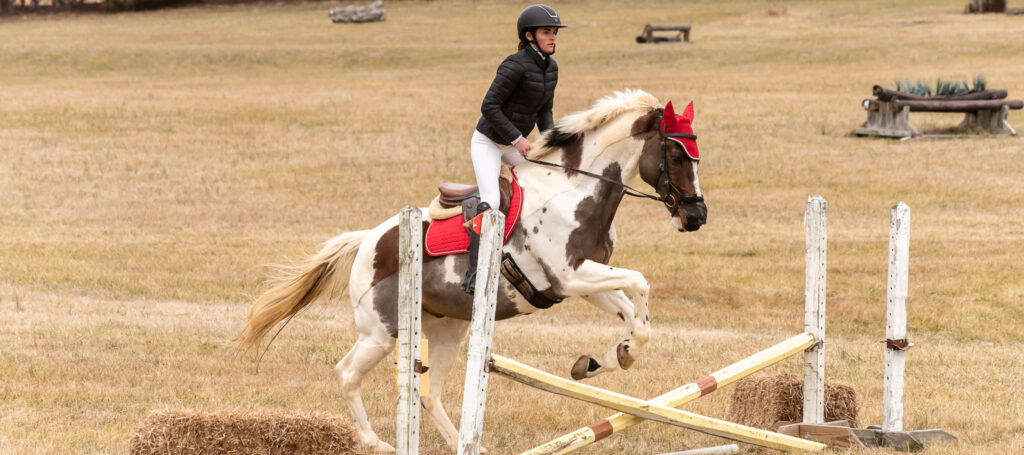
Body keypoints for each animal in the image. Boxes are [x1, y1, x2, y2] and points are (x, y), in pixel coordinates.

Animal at [237, 89, 707, 453]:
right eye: (677, 153)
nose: (697, 217)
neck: (575, 190)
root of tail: (369, 239)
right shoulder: (569, 276)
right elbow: (640, 283)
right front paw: (614, 354)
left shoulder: (579, 281)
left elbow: (633, 312)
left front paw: (606, 359)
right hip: (381, 331)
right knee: (347, 374)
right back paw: (376, 442)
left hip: (448, 329)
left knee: (429, 393)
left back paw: (465, 444)